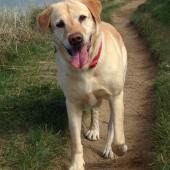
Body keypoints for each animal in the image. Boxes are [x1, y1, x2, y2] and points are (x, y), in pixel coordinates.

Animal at [37, 0, 127, 169]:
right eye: (60, 24)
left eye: (82, 17)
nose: (75, 39)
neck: (86, 69)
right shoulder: (72, 103)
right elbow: (76, 141)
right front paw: (77, 163)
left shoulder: (116, 96)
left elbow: (117, 133)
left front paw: (118, 148)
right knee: (95, 110)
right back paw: (93, 129)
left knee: (111, 124)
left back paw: (108, 148)